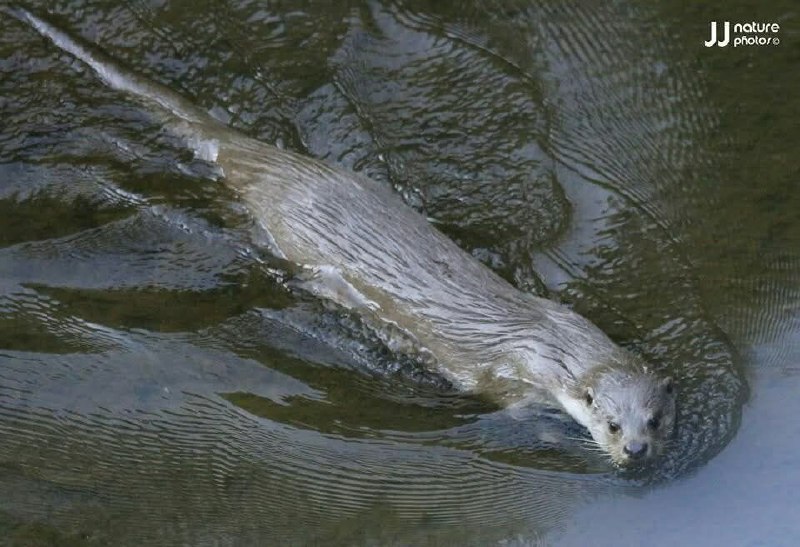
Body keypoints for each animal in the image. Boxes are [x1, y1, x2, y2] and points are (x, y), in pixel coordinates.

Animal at [14, 8, 676, 466]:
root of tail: (272, 161)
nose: (636, 453)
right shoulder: (509, 379)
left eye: (655, 420)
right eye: (611, 424)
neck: (552, 344)